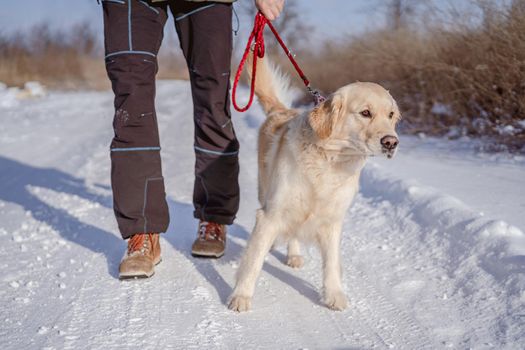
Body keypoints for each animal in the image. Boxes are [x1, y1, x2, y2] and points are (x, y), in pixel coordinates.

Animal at [227, 54, 400, 312]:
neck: (330, 160)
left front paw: (334, 294)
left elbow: (331, 262)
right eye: (365, 113)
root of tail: (280, 110)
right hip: (265, 190)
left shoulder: (332, 220)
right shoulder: (270, 214)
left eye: (390, 115)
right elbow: (253, 260)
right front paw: (241, 296)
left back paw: (294, 255)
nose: (392, 142)